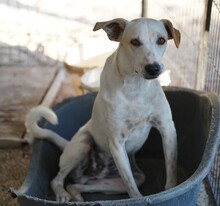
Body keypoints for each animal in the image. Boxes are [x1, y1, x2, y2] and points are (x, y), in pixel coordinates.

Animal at [25, 17, 180, 203]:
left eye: (161, 40)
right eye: (135, 42)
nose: (153, 68)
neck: (137, 88)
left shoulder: (167, 129)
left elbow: (171, 168)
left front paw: (171, 190)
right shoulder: (117, 142)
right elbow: (132, 189)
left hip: (125, 180)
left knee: (78, 185)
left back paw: (77, 195)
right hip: (83, 144)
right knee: (57, 180)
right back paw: (62, 194)